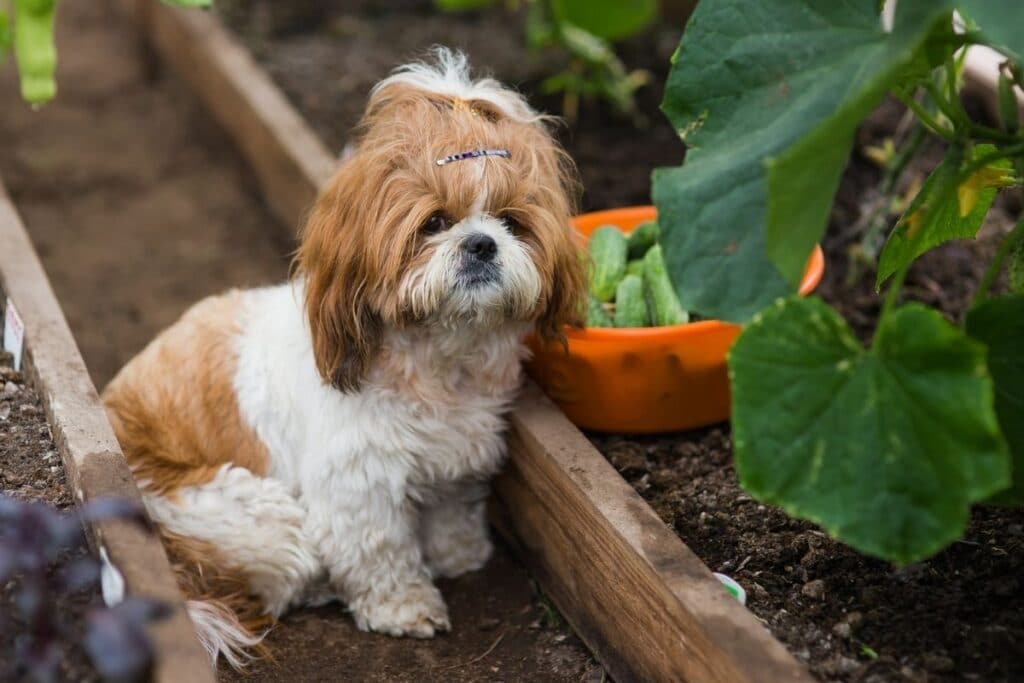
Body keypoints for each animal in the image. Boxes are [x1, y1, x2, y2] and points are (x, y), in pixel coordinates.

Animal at [103, 49, 589, 667]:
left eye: (512, 222)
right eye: (434, 222)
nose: (481, 243)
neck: (437, 366)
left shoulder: (459, 454)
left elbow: (452, 507)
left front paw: (460, 553)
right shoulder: (359, 484)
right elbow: (378, 550)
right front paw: (404, 606)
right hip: (250, 517)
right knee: (279, 574)